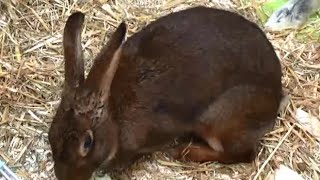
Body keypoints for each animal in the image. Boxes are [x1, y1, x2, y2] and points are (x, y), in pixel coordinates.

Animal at [47, 5, 282, 180]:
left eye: (87, 143)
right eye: (51, 134)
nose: (67, 178)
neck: (114, 115)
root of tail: (278, 95)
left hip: (219, 120)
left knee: (242, 154)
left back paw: (186, 152)